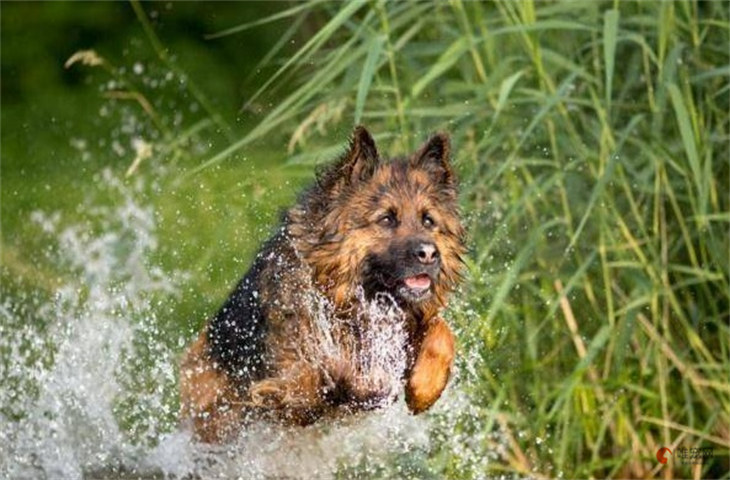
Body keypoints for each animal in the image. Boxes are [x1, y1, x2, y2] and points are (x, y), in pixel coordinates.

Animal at [179, 126, 464, 442]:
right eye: (386, 219)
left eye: (428, 221)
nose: (428, 254)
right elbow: (310, 377)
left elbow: (442, 331)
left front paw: (424, 389)